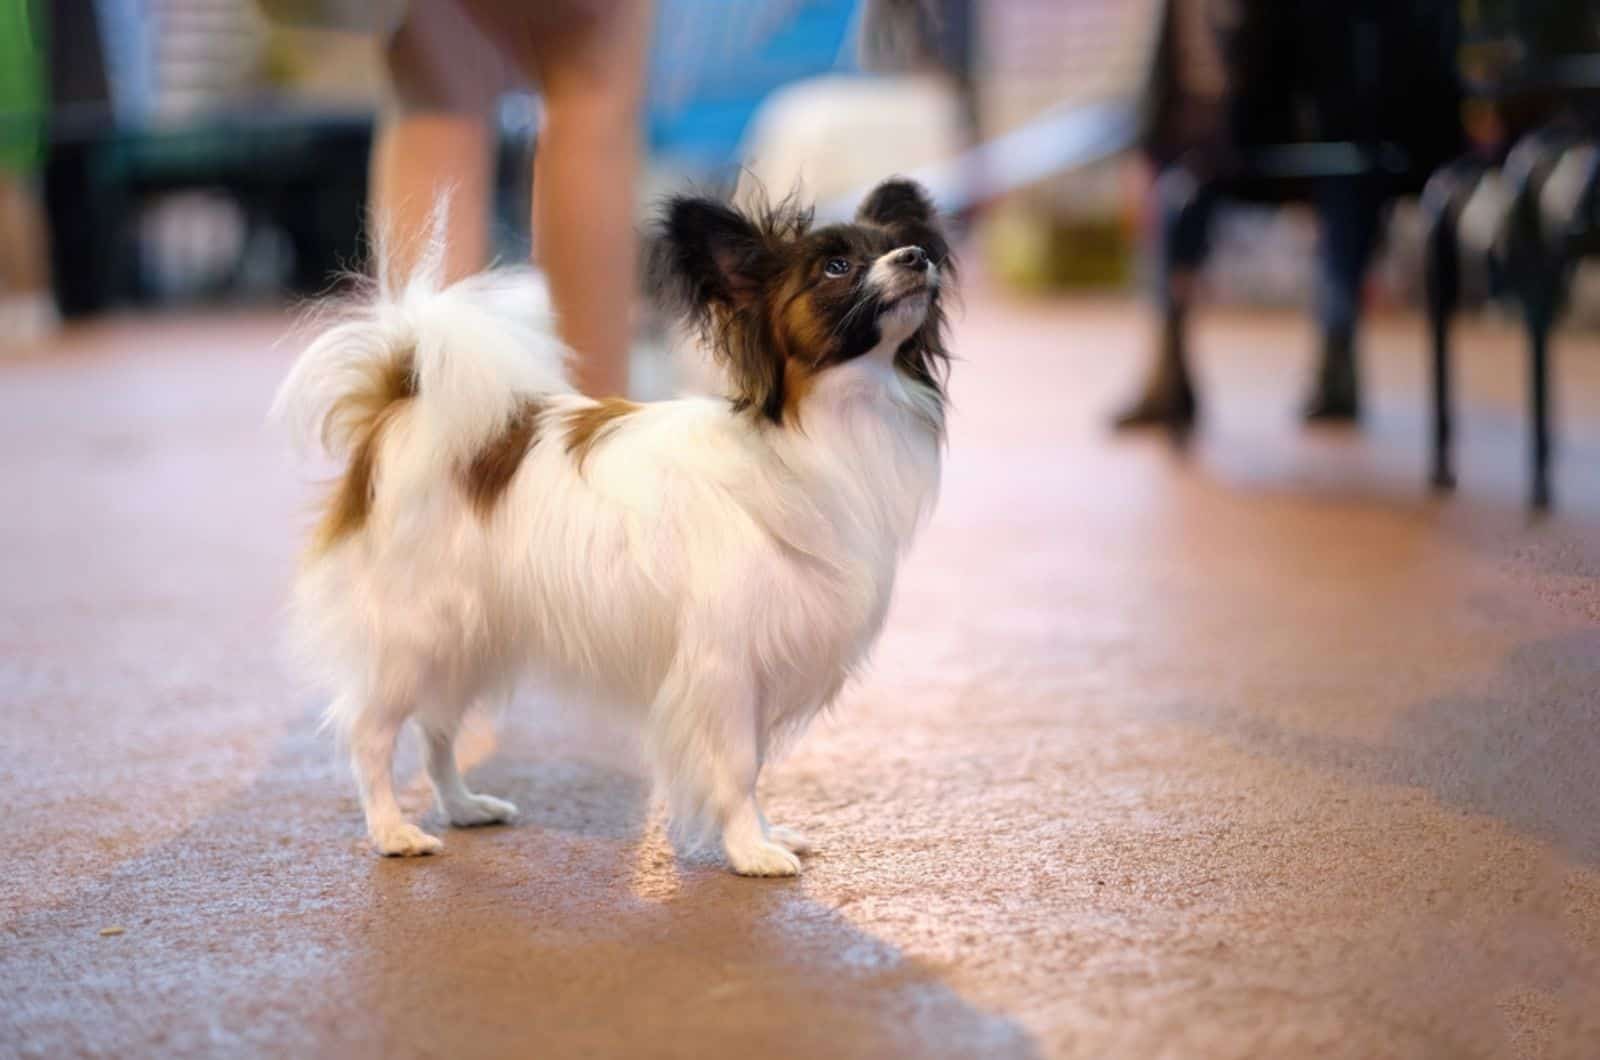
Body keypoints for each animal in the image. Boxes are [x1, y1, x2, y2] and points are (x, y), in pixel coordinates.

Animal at [275, 178, 947, 877]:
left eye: (899, 245)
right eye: (835, 267)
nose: (917, 256)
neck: (819, 427)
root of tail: (402, 407)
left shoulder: (758, 663)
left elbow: (754, 764)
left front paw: (765, 834)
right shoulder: (725, 663)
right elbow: (736, 768)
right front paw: (749, 851)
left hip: (466, 641)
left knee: (437, 732)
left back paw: (463, 807)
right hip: (416, 635)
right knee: (371, 736)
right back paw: (392, 832)